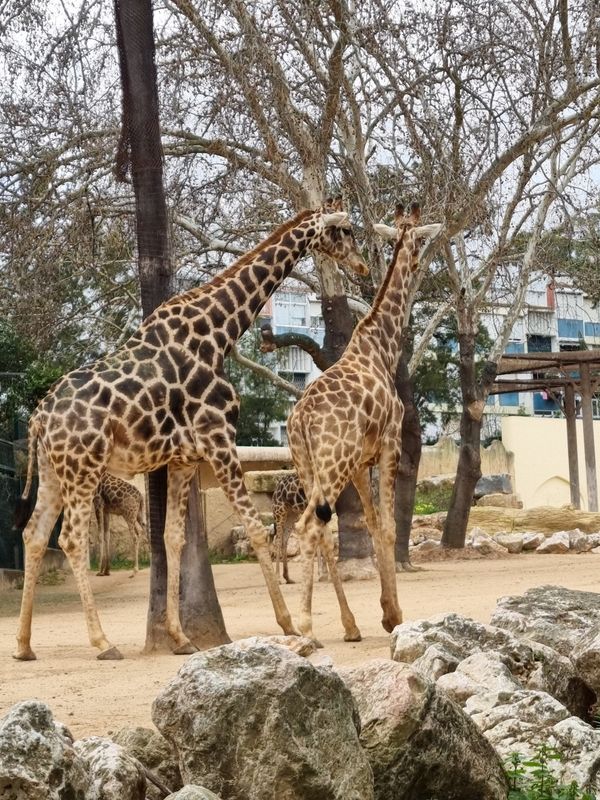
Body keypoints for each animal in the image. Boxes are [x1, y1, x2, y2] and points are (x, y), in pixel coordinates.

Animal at [16, 202, 368, 664]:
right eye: (345, 231)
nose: (363, 264)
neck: (218, 333)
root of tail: (39, 418)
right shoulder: (219, 439)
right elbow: (256, 528)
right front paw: (290, 625)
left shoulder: (184, 458)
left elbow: (173, 538)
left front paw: (181, 638)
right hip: (83, 467)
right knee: (72, 538)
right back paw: (103, 642)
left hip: (54, 470)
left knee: (35, 534)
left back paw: (24, 644)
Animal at [286, 205, 440, 644]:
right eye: (421, 240)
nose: (420, 262)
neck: (382, 346)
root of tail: (302, 417)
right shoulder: (390, 444)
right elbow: (387, 527)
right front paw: (395, 615)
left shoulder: (359, 463)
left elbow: (371, 524)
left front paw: (385, 612)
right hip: (332, 462)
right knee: (308, 527)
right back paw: (305, 625)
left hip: (309, 465)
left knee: (321, 529)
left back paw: (349, 625)